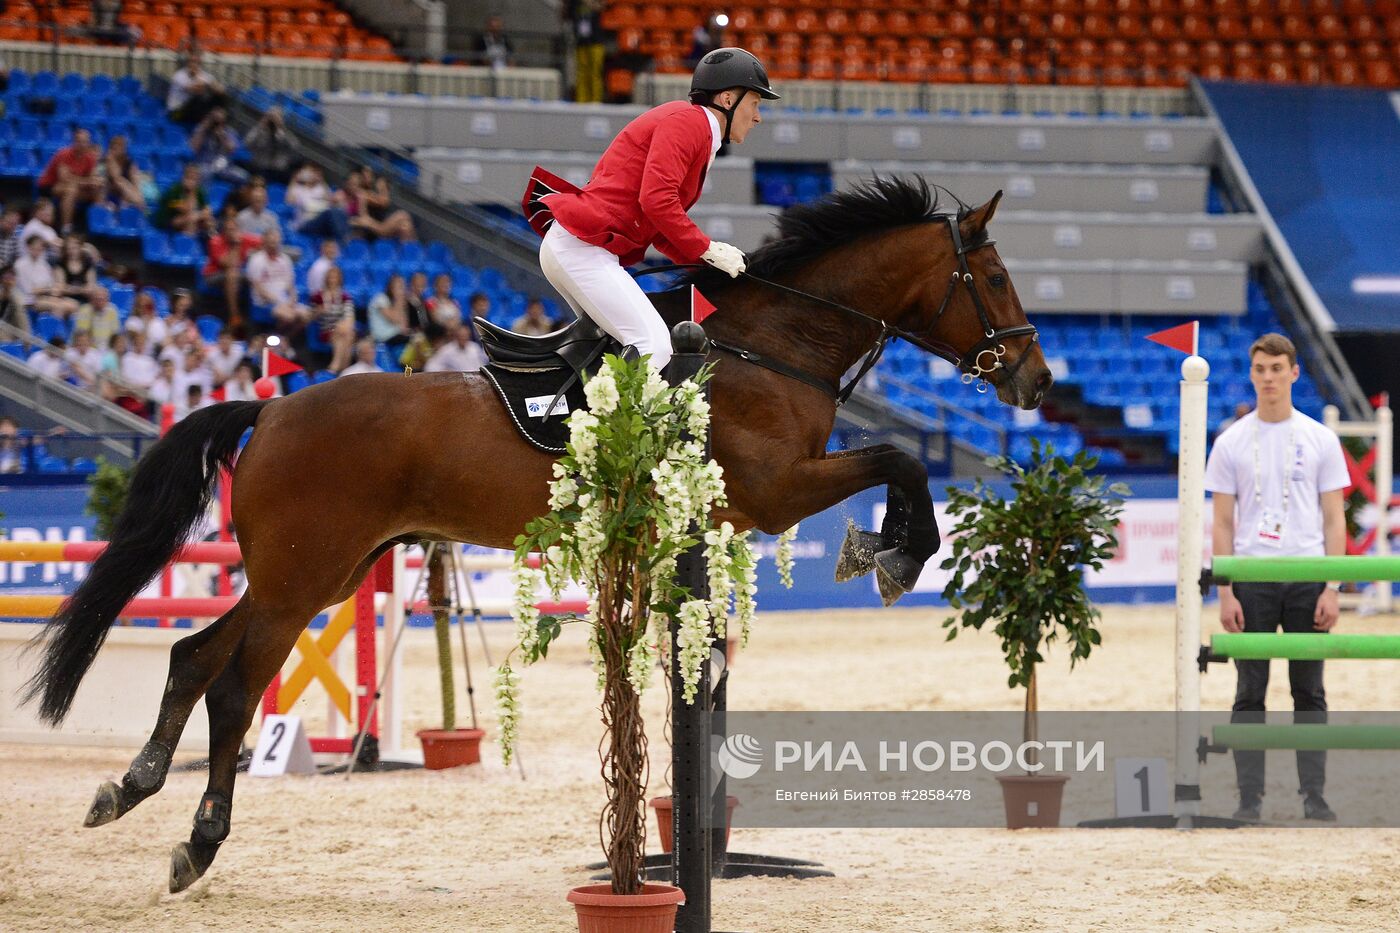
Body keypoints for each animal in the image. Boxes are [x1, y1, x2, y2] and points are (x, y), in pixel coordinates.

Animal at [24, 172, 1052, 885]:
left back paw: (129, 788)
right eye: (996, 276)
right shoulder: (774, 490)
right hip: (302, 576)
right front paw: (892, 552)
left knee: (193, 655)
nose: (1038, 382)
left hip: (320, 571)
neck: (774, 346)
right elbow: (900, 460)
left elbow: (894, 462)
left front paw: (883, 548)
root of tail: (271, 407)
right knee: (236, 686)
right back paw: (197, 843)